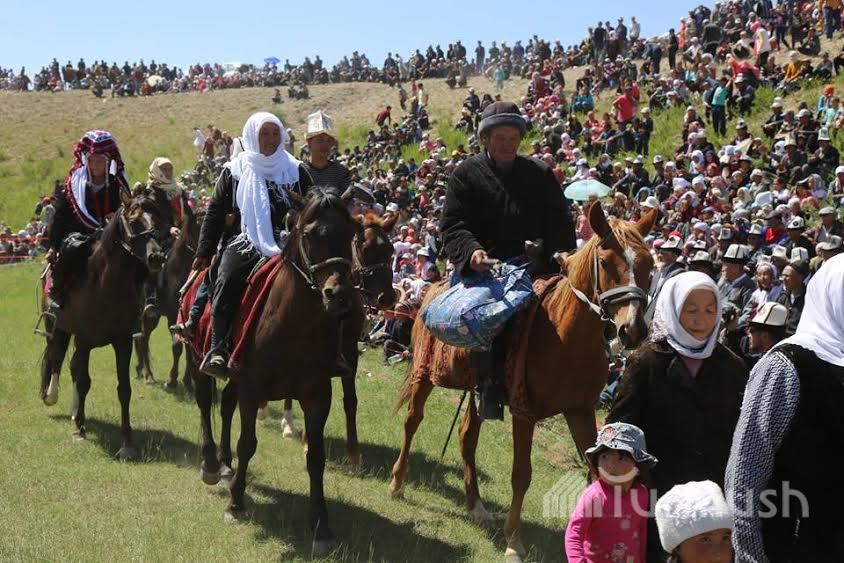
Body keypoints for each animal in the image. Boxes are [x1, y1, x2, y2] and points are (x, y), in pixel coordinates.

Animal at [38, 186, 174, 460]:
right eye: (134, 221)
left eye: (158, 220)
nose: (156, 257)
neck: (105, 287)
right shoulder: (84, 340)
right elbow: (84, 381)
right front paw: (78, 431)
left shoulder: (122, 342)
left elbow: (124, 389)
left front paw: (127, 442)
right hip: (56, 326)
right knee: (56, 358)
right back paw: (52, 396)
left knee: (70, 365)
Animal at [133, 208, 203, 389]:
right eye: (197, 226)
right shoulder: (173, 316)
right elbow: (177, 346)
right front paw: (171, 380)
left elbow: (189, 348)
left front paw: (187, 382)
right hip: (148, 316)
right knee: (143, 339)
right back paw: (148, 375)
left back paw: (140, 369)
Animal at [188, 187, 362, 556]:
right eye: (310, 234)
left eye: (351, 232)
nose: (339, 295)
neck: (294, 326)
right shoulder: (253, 389)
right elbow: (248, 444)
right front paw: (235, 505)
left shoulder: (317, 395)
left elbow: (316, 458)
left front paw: (321, 526)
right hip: (197, 359)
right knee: (204, 404)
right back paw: (211, 465)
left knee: (225, 407)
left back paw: (224, 463)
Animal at [388, 202, 657, 563]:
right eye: (605, 262)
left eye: (649, 265)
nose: (633, 330)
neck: (567, 337)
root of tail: (433, 286)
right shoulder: (524, 412)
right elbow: (521, 474)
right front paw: (514, 541)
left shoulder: (580, 411)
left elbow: (596, 469)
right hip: (423, 372)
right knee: (412, 420)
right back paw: (397, 483)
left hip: (479, 392)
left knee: (466, 436)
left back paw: (476, 506)